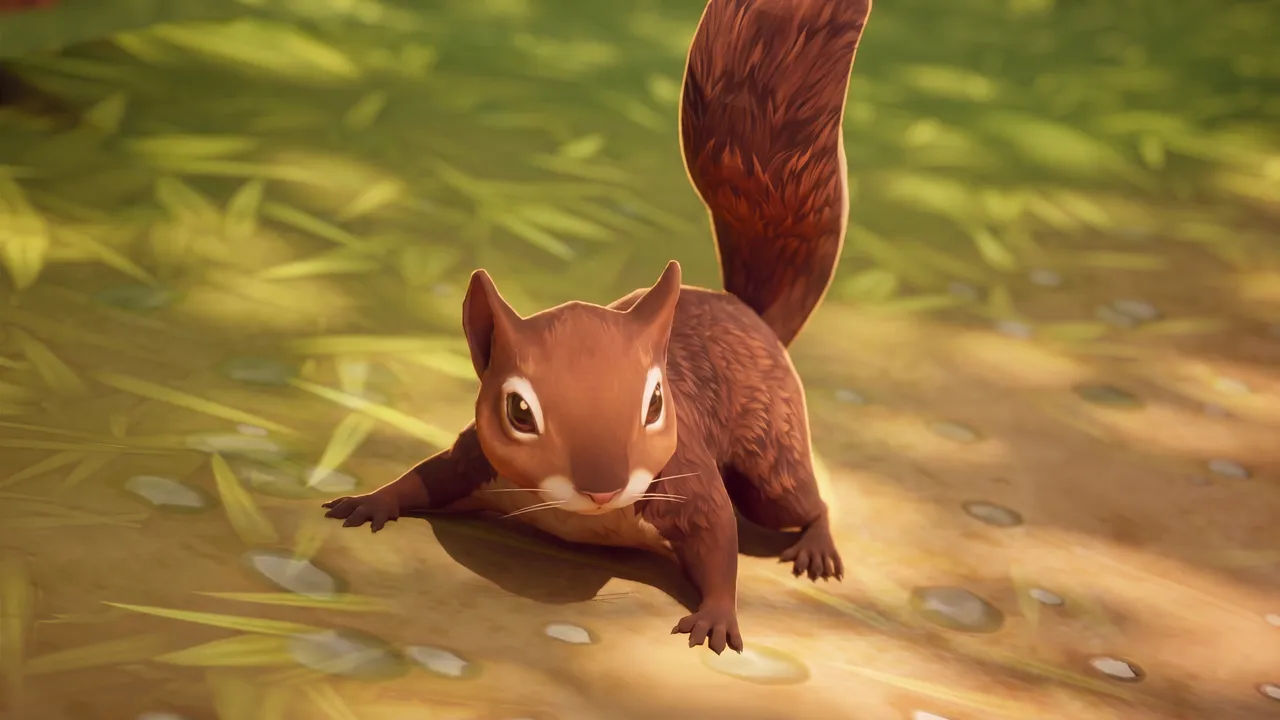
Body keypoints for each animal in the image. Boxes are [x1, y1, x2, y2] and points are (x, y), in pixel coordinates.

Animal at [323, 0, 872, 655]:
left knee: (801, 498)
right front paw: (371, 500)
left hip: (771, 452)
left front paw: (717, 614)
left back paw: (817, 543)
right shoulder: (475, 458)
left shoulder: (687, 479)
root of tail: (746, 314)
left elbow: (720, 544)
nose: (604, 488)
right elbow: (425, 477)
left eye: (657, 402)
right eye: (518, 411)